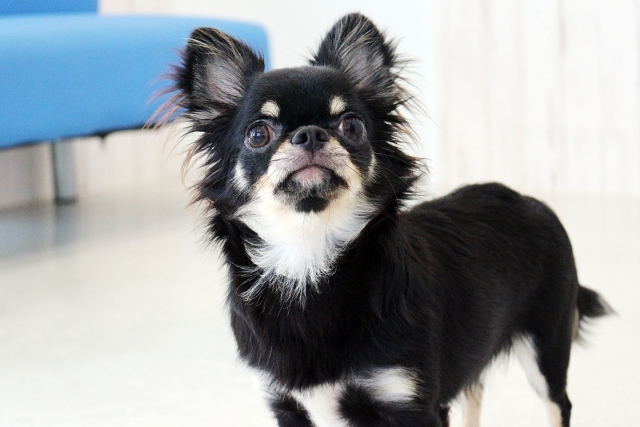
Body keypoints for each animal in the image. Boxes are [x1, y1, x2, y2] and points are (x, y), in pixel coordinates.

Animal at [159, 13, 610, 427]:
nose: (310, 133)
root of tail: (530, 201)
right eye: (258, 134)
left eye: (352, 125)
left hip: (546, 347)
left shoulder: (408, 401)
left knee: (557, 405)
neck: (309, 256)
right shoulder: (286, 405)